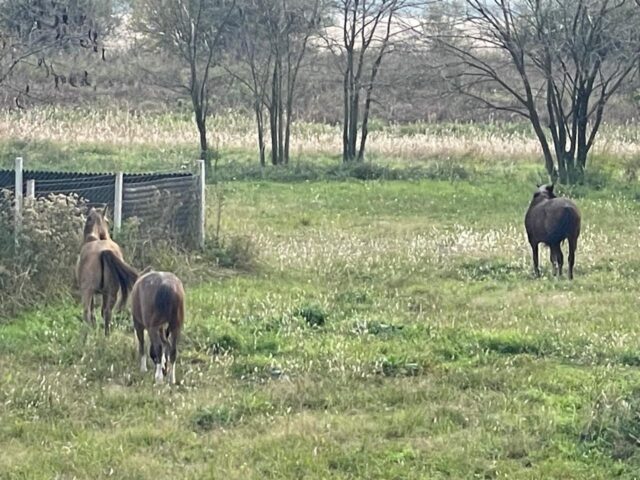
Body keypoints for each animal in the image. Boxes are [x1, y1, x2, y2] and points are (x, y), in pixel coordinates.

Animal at [75, 207, 139, 335]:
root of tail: (104, 251)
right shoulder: (105, 293)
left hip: (87, 291)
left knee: (87, 313)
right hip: (112, 292)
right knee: (107, 313)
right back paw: (106, 335)